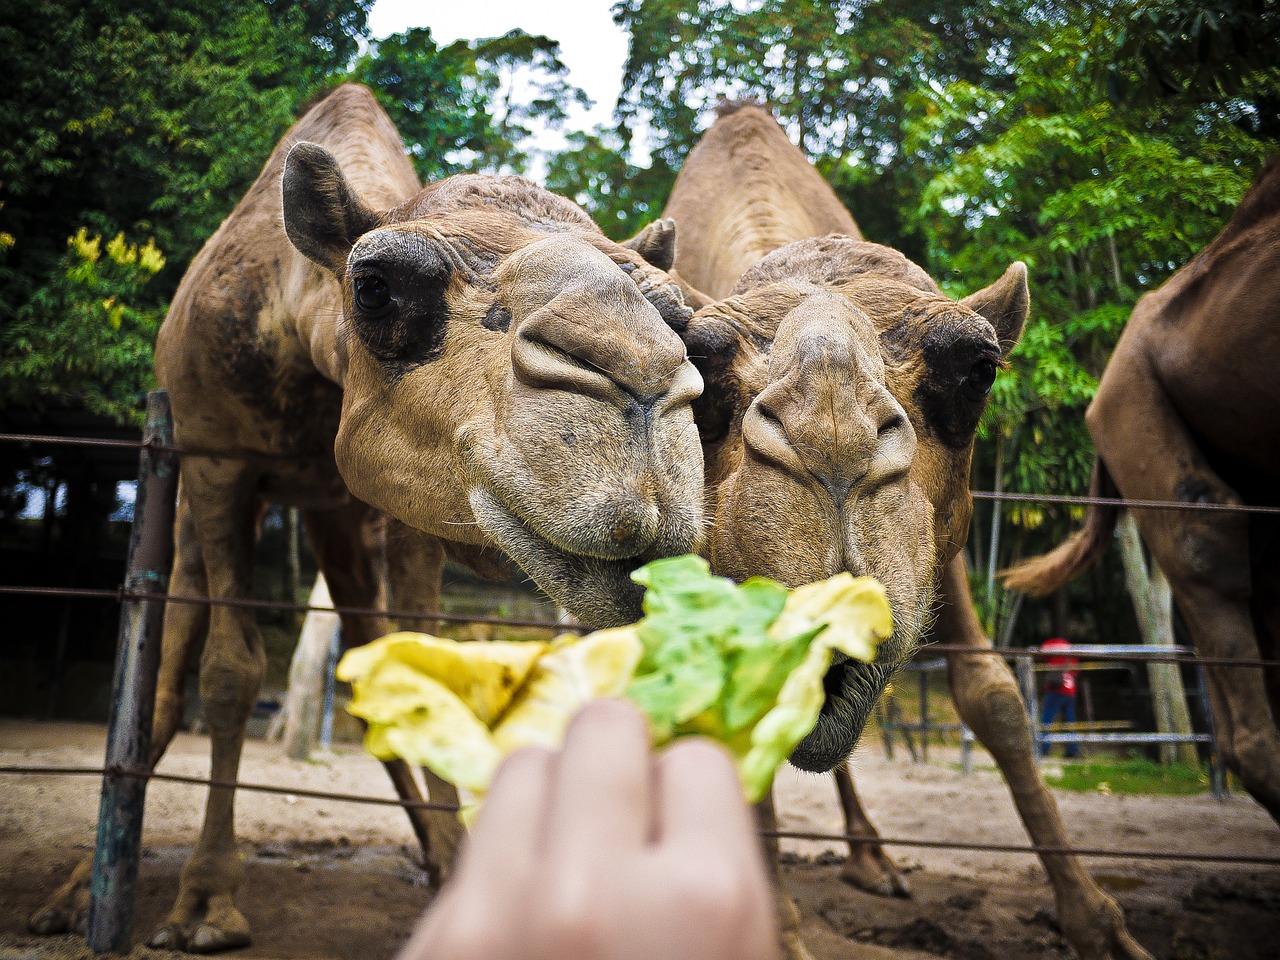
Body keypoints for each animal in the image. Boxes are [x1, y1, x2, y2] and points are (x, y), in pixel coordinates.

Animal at [27, 84, 711, 957]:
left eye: (676, 317)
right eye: (377, 285)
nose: (643, 385)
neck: (294, 313)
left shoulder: (409, 500)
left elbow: (424, 667)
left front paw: (457, 872)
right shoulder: (221, 464)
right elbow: (229, 673)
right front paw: (205, 905)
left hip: (339, 522)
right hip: (191, 496)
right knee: (170, 666)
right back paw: (75, 896)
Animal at [660, 103, 1152, 960]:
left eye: (977, 371)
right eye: (702, 369)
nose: (831, 440)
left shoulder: (944, 542)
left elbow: (994, 698)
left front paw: (1099, 924)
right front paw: (775, 931)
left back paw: (876, 859)